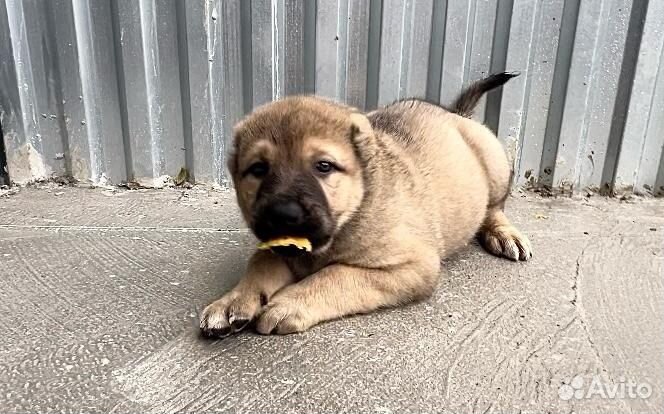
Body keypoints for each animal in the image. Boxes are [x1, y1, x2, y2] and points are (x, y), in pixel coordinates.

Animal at [200, 73, 532, 338]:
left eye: (323, 166)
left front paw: (289, 303)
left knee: (494, 208)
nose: (283, 214)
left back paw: (504, 234)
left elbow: (337, 275)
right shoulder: (279, 247)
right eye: (258, 169)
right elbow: (260, 262)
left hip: (494, 163)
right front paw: (232, 300)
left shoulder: (414, 265)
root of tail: (455, 113)